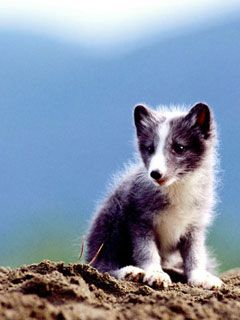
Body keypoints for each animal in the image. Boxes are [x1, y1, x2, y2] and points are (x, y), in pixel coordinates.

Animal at [86, 103, 223, 290]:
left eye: (179, 148)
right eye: (150, 149)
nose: (155, 174)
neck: (176, 188)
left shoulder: (194, 226)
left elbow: (195, 255)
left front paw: (200, 277)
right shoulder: (139, 221)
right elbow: (147, 252)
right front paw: (155, 274)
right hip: (111, 220)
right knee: (100, 266)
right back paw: (129, 272)